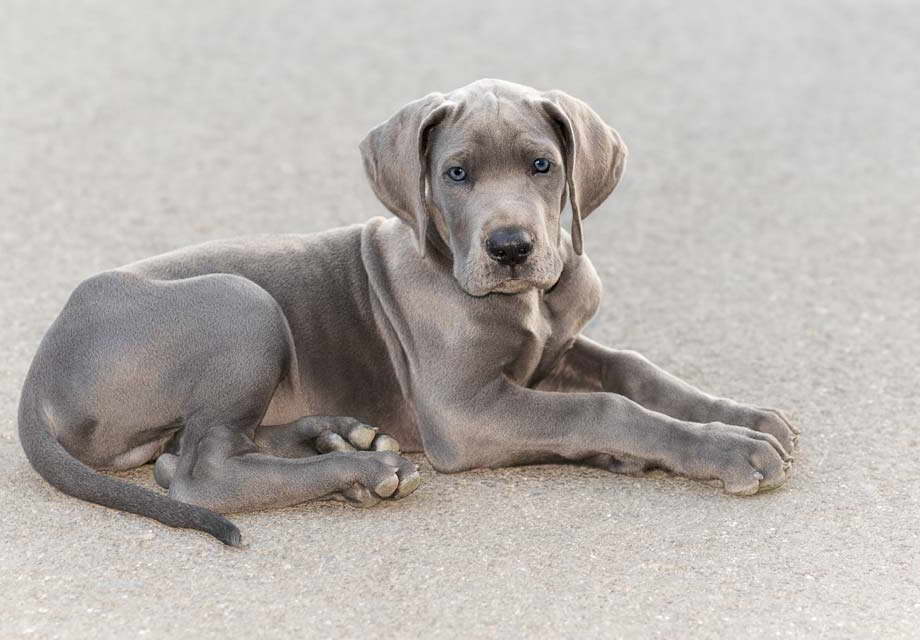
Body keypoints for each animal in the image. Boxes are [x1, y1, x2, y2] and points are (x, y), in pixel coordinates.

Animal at [18, 77, 796, 544]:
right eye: (456, 173)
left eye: (542, 165)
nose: (511, 248)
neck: (527, 302)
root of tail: (39, 370)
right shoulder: (465, 412)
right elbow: (606, 406)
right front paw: (729, 450)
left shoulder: (555, 352)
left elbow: (636, 372)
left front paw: (745, 416)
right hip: (242, 304)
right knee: (198, 471)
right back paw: (362, 473)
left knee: (202, 447)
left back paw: (340, 437)